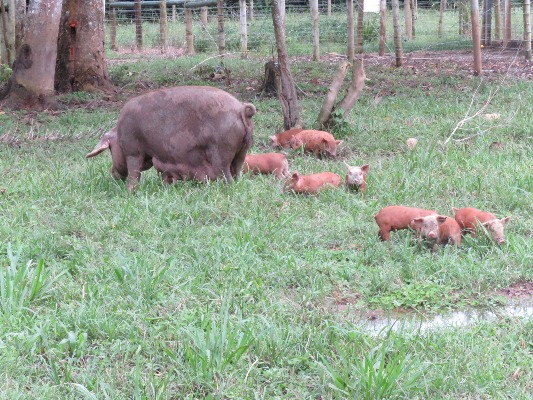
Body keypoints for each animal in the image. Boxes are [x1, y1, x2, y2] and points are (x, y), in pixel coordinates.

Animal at [85, 85, 256, 191]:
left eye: (110, 149)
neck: (119, 134)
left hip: (221, 152)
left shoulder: (133, 151)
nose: (113, 173)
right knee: (238, 173)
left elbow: (134, 173)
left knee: (228, 178)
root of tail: (241, 109)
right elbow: (164, 175)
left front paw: (129, 192)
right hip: (241, 153)